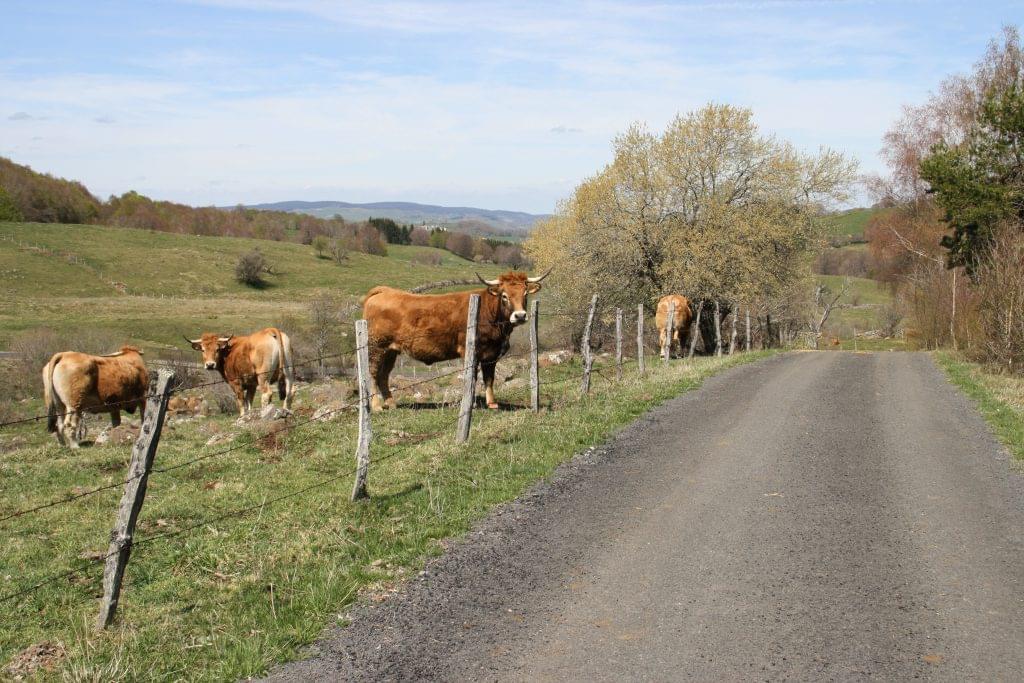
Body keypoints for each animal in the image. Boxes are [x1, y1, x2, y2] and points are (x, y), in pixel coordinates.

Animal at [362, 270, 549, 412]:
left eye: (525, 294)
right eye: (504, 296)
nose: (520, 316)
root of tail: (385, 291)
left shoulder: (491, 354)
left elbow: (489, 378)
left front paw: (492, 403)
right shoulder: (470, 351)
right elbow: (472, 377)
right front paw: (471, 404)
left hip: (391, 350)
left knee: (383, 375)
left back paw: (391, 403)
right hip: (376, 347)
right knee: (373, 373)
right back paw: (377, 406)